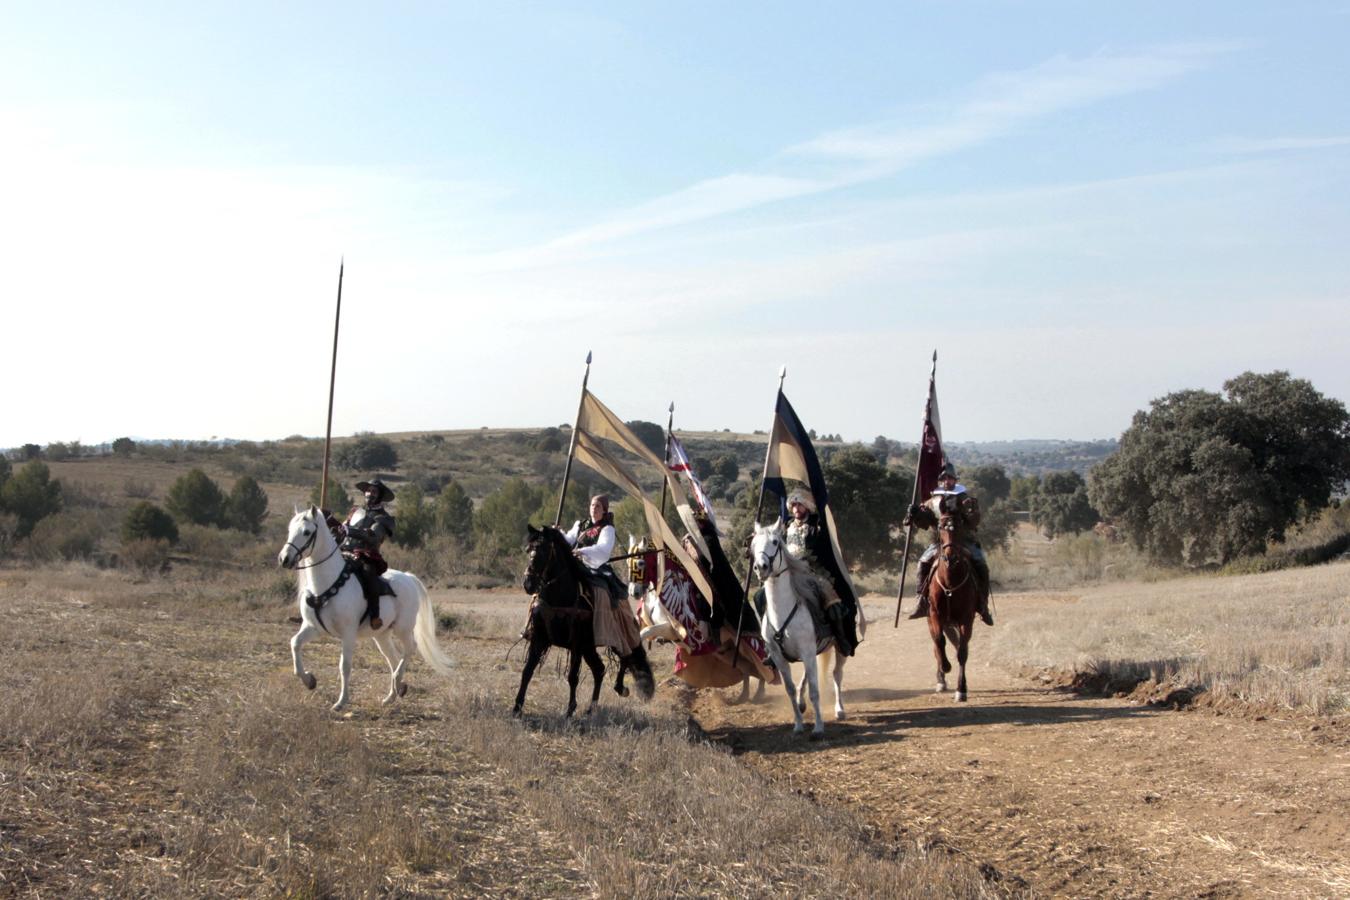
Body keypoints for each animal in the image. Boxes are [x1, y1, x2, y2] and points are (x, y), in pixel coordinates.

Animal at [275, 507, 453, 712]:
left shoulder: (348, 633)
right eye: (290, 529)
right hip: (381, 635)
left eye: (306, 532)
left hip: (403, 628)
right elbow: (295, 643)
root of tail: (408, 577)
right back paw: (393, 693)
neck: (327, 583)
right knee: (393, 658)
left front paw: (341, 702)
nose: (284, 559)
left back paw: (397, 683)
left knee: (409, 649)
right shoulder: (313, 627)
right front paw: (309, 680)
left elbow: (345, 666)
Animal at [515, 520, 653, 717]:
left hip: (613, 637)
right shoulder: (539, 639)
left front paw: (570, 710)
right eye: (528, 550)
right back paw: (591, 708)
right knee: (599, 669)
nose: (528, 584)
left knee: (625, 657)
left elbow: (573, 676)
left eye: (543, 550)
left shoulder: (576, 644)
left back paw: (620, 688)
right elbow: (527, 671)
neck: (560, 595)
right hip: (589, 647)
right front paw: (517, 707)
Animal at [756, 520, 847, 739]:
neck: (783, 610)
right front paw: (798, 725)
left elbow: (815, 690)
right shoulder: (779, 656)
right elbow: (789, 689)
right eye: (754, 543)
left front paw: (818, 728)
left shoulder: (807, 650)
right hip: (812, 651)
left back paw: (839, 709)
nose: (761, 567)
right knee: (808, 675)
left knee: (837, 674)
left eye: (775, 542)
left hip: (837, 649)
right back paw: (801, 702)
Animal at [923, 512, 977, 701]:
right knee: (937, 644)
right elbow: (939, 642)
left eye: (959, 527)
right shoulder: (935, 615)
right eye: (940, 528)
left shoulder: (966, 619)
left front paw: (961, 689)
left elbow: (962, 651)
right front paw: (945, 667)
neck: (950, 582)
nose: (950, 557)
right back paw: (941, 679)